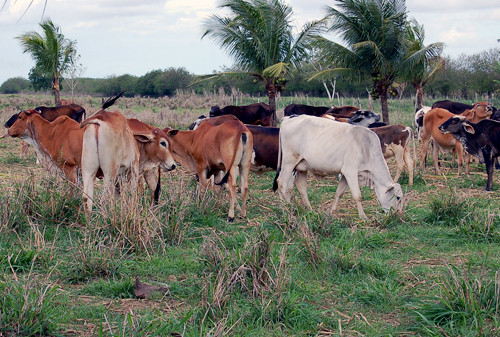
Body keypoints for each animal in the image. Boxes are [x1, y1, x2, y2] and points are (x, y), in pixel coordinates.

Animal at [272, 114, 404, 218]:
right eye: (398, 197)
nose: (398, 215)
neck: (366, 147)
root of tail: (288, 118)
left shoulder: (345, 174)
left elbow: (339, 192)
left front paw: (331, 212)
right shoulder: (350, 171)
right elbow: (357, 195)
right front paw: (363, 217)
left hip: (302, 166)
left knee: (301, 188)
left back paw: (310, 211)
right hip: (289, 162)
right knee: (282, 183)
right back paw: (287, 208)